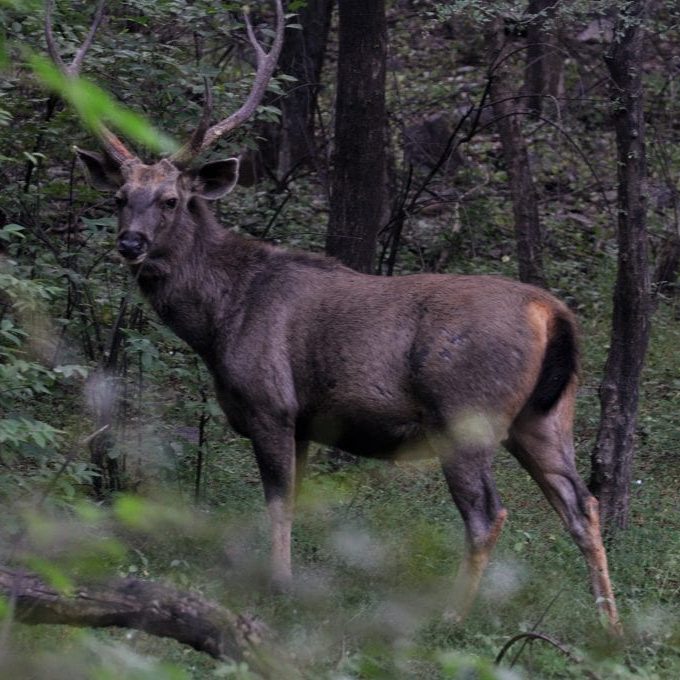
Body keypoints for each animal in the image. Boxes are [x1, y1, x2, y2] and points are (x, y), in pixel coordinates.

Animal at [46, 0, 619, 629]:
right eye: (120, 198)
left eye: (171, 200)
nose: (130, 243)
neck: (221, 318)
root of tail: (553, 313)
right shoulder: (304, 421)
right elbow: (296, 500)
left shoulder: (271, 403)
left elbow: (276, 501)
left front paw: (279, 586)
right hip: (545, 417)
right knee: (582, 504)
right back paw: (611, 628)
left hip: (466, 413)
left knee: (488, 514)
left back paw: (451, 617)